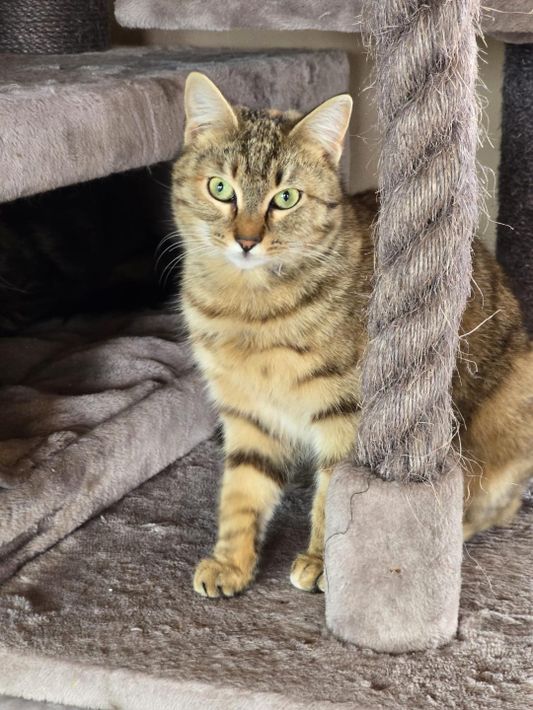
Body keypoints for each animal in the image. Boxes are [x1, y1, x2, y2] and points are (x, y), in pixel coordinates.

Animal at [172, 72, 533, 598]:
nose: (246, 240)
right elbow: (242, 493)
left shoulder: (346, 413)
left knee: (496, 504)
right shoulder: (248, 415)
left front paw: (326, 561)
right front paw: (231, 562)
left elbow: (335, 496)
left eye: (286, 197)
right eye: (221, 188)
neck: (250, 308)